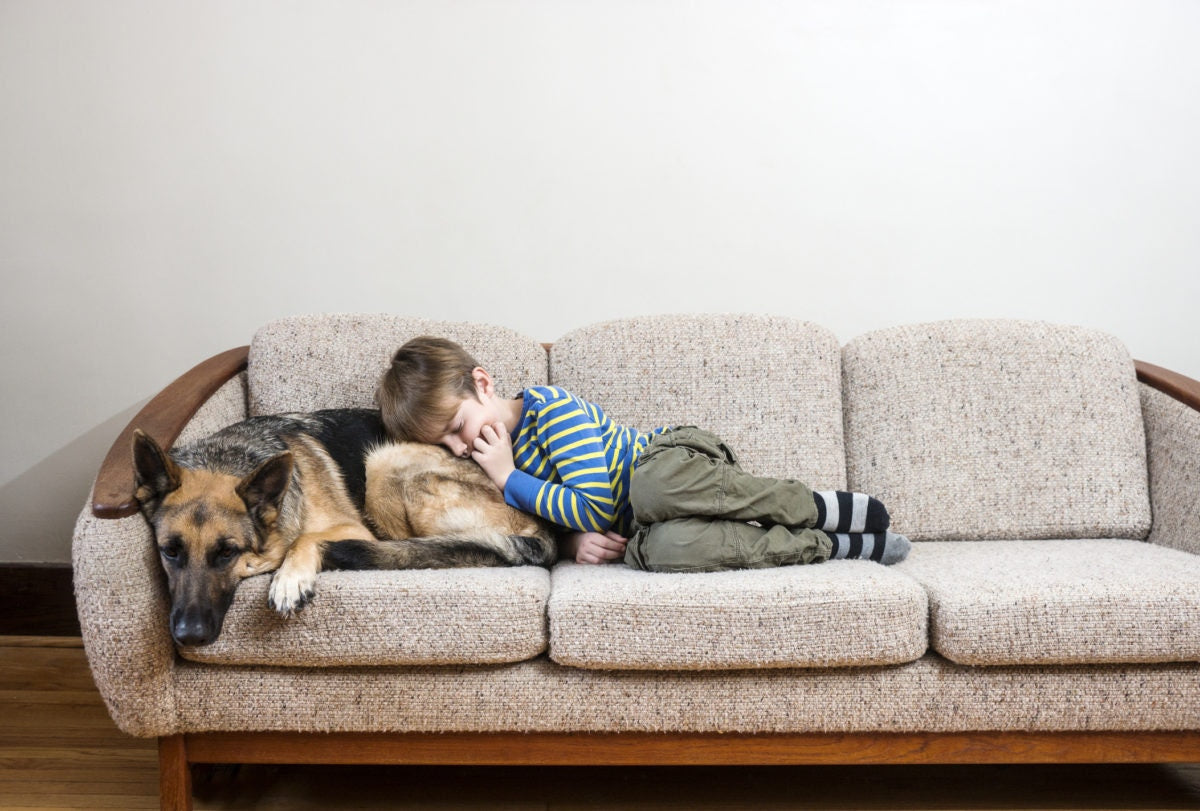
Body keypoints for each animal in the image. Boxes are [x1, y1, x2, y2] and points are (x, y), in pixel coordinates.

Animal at [132, 412, 556, 647]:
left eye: (226, 552)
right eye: (170, 551)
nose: (190, 636)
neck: (227, 458)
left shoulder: (353, 527)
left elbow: (305, 537)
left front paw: (289, 579)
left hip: (384, 463)